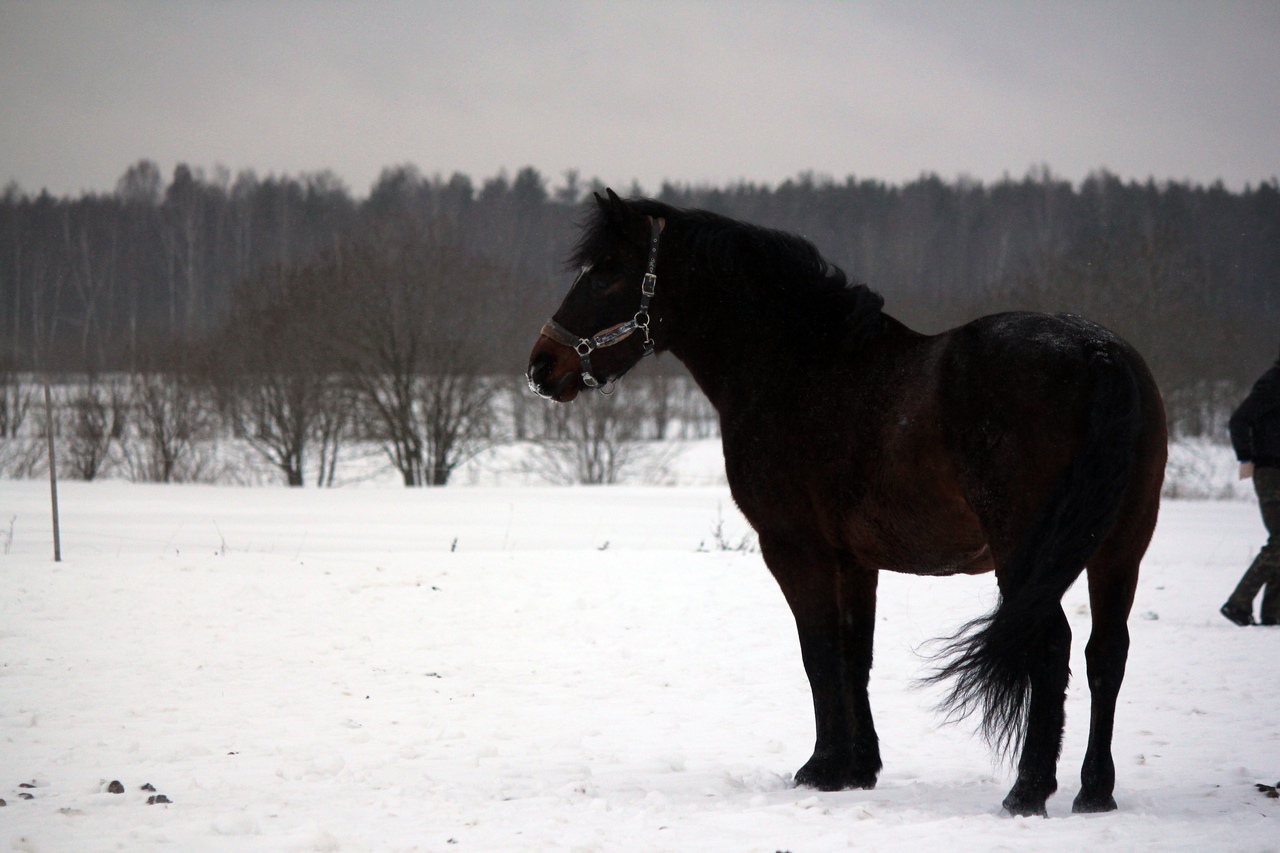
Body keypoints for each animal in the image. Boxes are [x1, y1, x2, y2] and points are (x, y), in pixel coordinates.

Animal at [526, 189, 1167, 817]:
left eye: (608, 273)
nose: (541, 367)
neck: (798, 367)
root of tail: (1099, 353)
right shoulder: (854, 560)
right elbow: (855, 655)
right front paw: (861, 767)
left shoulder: (794, 549)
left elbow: (819, 653)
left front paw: (822, 769)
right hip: (1119, 549)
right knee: (1107, 652)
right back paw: (1094, 791)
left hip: (1025, 552)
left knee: (1051, 646)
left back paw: (1028, 791)